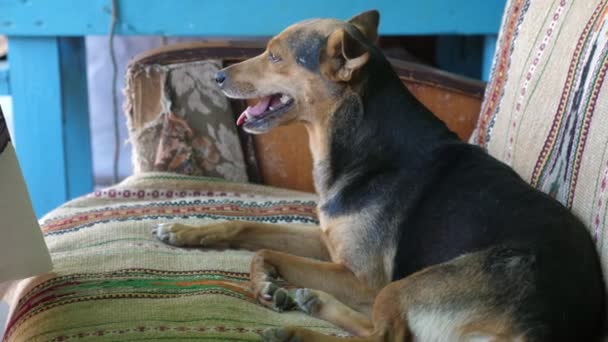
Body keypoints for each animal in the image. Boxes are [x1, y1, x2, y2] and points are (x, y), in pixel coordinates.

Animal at [154, 10, 604, 342]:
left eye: (276, 57)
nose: (217, 77)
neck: (358, 141)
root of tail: (540, 326)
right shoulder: (329, 240)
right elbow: (250, 232)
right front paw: (184, 231)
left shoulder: (360, 279)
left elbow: (265, 249)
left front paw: (264, 283)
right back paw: (311, 304)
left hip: (407, 286)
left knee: (382, 336)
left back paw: (298, 328)